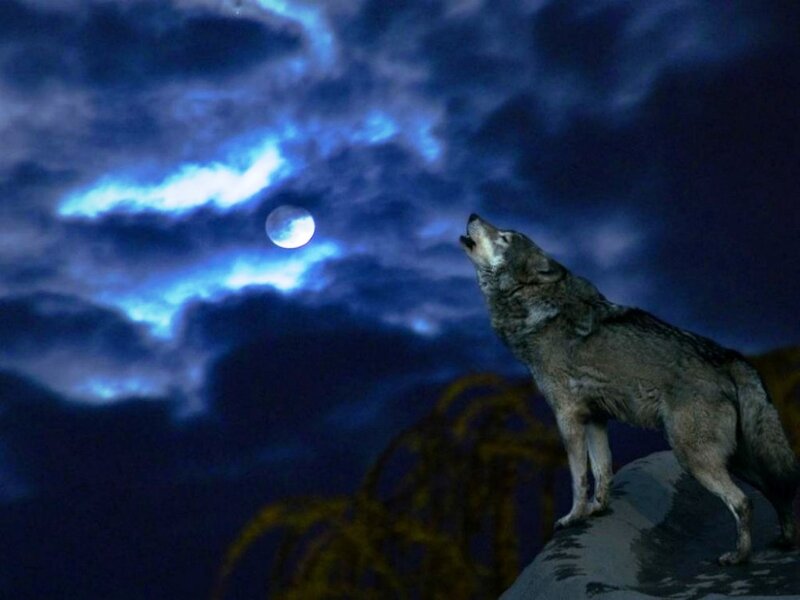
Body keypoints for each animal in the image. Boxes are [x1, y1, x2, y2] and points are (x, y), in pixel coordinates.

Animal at [460, 213, 798, 564]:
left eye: (505, 238)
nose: (472, 215)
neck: (535, 307)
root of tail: (730, 357)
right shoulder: (596, 419)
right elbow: (603, 469)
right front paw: (598, 509)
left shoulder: (568, 417)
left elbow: (579, 477)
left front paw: (573, 517)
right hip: (738, 460)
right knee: (778, 491)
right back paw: (784, 540)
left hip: (695, 457)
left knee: (744, 502)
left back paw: (738, 556)